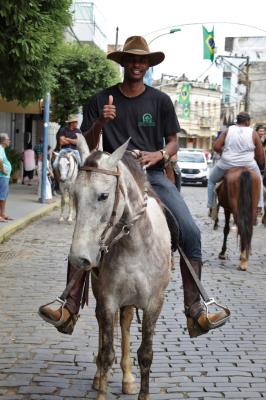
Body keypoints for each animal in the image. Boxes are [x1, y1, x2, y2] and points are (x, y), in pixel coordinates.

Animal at [68, 135, 171, 400]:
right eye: (74, 194)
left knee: (125, 323)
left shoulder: (155, 302)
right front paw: (101, 387)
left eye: (103, 195)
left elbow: (146, 354)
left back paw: (128, 378)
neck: (134, 244)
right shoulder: (108, 298)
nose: (80, 258)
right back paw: (100, 377)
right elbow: (106, 353)